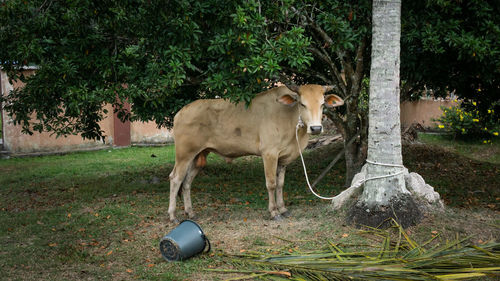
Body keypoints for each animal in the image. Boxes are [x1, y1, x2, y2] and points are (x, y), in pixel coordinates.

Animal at [168, 83, 344, 221]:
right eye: (302, 104)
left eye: (322, 104)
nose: (316, 128)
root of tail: (181, 112)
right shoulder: (269, 154)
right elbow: (271, 184)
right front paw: (274, 212)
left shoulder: (283, 158)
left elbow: (280, 184)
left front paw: (283, 209)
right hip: (184, 154)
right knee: (176, 178)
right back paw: (172, 215)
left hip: (199, 156)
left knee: (187, 182)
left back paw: (190, 212)